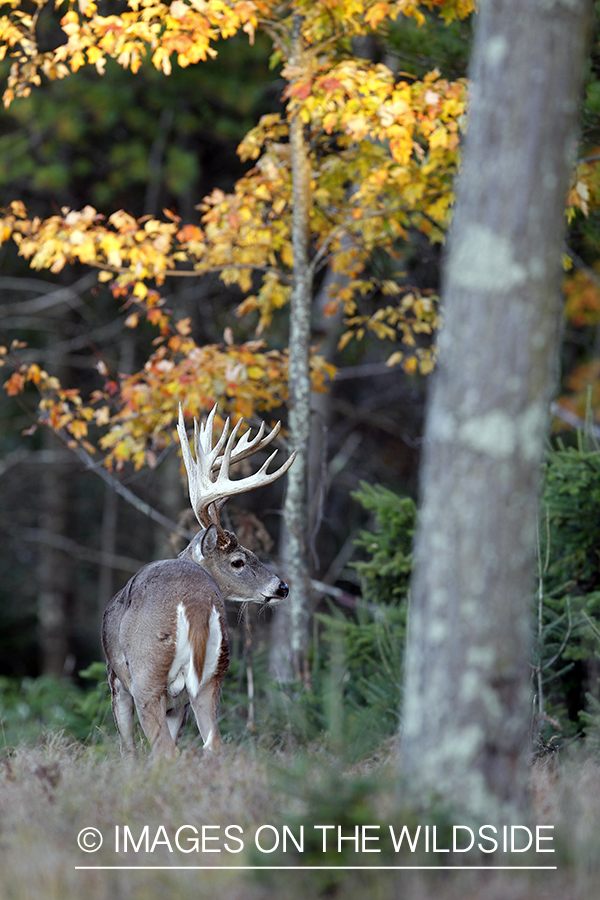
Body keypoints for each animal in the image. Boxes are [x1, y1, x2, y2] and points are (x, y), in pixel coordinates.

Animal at [102, 404, 296, 756]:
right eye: (239, 560)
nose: (282, 587)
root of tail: (193, 605)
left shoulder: (116, 679)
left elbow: (128, 748)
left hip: (147, 674)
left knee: (163, 749)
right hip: (213, 674)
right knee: (213, 742)